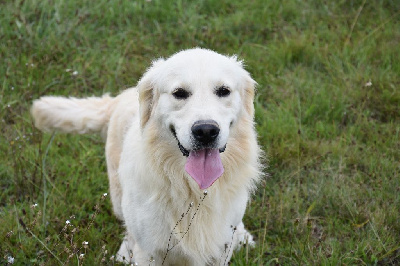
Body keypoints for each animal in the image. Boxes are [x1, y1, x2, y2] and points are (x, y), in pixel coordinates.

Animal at [31, 48, 262, 264]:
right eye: (179, 93)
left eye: (224, 91)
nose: (206, 131)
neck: (191, 189)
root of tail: (117, 99)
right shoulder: (150, 250)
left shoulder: (220, 251)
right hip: (118, 197)